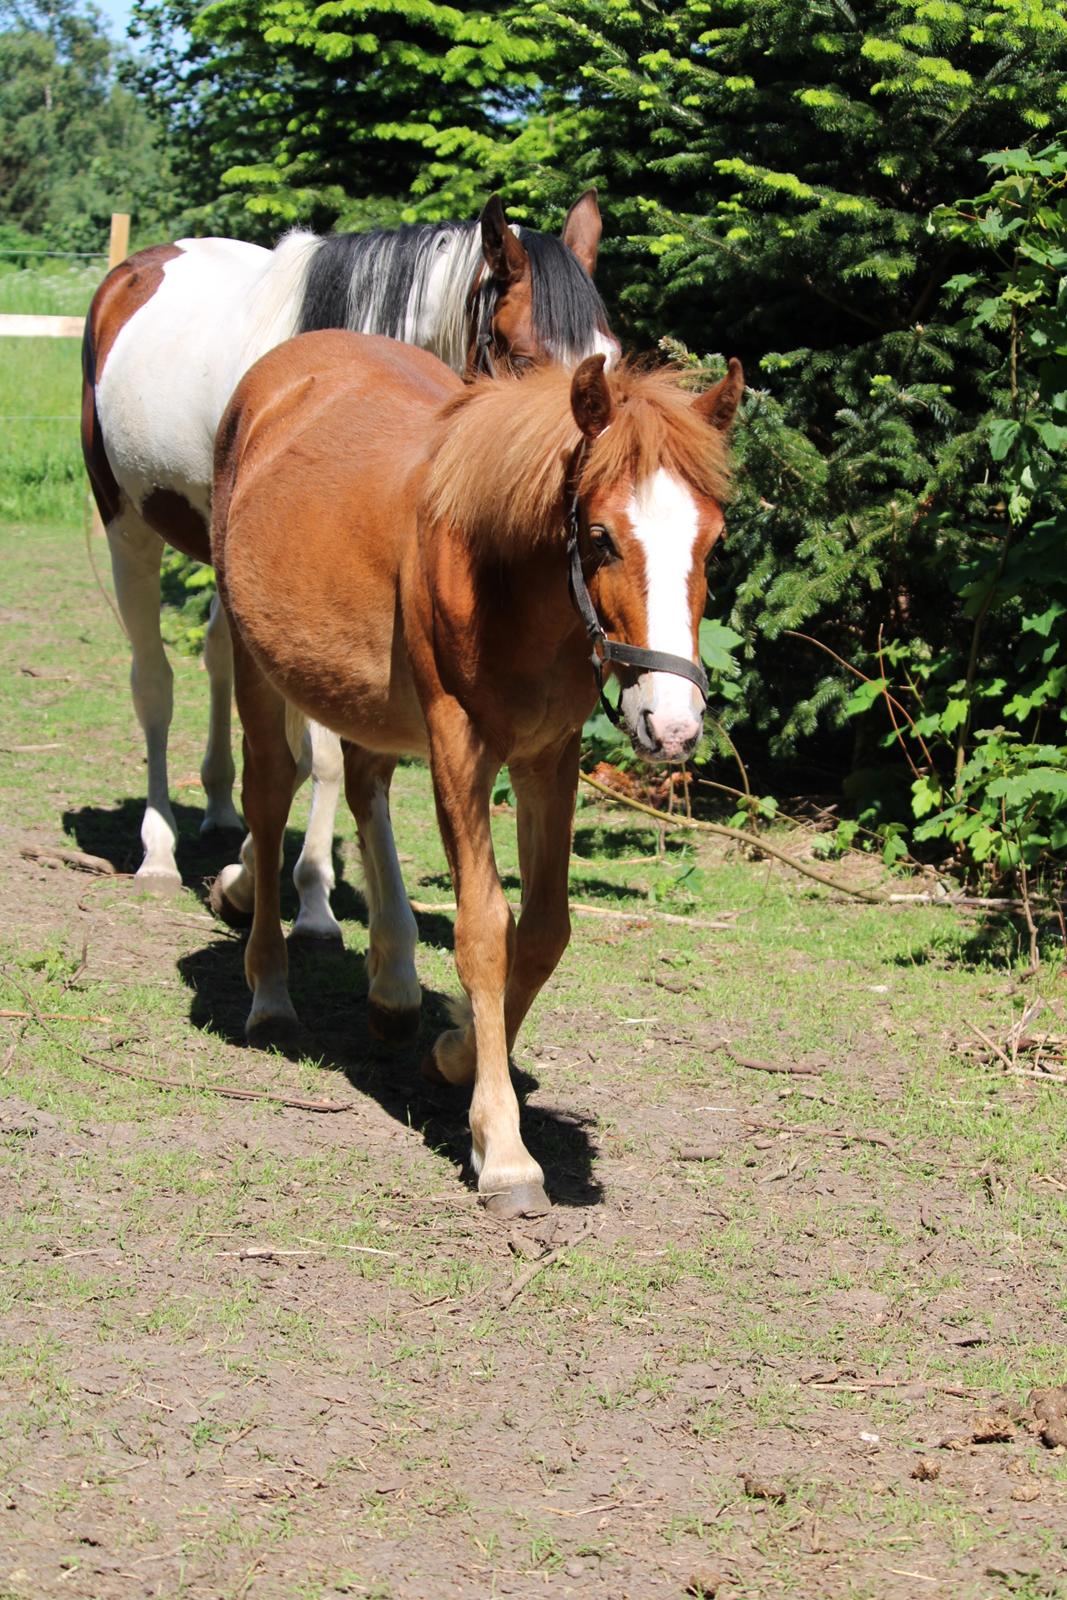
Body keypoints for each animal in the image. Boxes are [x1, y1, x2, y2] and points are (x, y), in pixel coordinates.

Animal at [79, 196, 614, 934]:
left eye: (609, 357)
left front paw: (261, 872)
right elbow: (324, 755)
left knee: (217, 659)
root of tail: (136, 269)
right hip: (127, 527)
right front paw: (306, 897)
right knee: (153, 681)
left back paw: (219, 807)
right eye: (524, 357)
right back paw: (159, 850)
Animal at [207, 331, 742, 1216]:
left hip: (365, 693)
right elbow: (486, 930)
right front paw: (504, 1150)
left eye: (712, 541)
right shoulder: (459, 741)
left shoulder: (547, 755)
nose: (671, 726)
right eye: (601, 536)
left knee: (365, 781)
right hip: (260, 664)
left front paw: (454, 1051)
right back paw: (270, 995)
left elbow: (546, 928)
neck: (509, 584)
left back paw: (393, 988)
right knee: (271, 791)